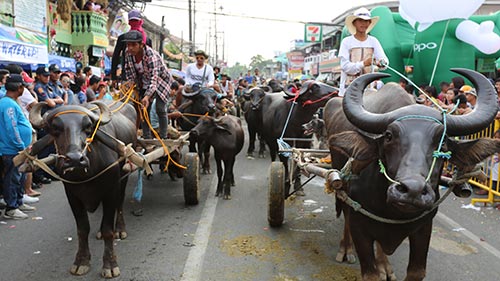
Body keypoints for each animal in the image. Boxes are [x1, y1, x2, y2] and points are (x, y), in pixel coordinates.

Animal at [29, 99, 137, 276]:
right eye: (55, 129)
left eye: (88, 127)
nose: (74, 159)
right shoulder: (72, 196)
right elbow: (82, 229)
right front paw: (81, 261)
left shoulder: (111, 190)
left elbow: (108, 230)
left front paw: (110, 264)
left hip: (124, 175)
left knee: (120, 203)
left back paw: (120, 229)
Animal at [324, 68, 500, 280]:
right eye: (388, 136)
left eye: (443, 143)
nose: (412, 191)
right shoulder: (360, 224)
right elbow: (370, 271)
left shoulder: (424, 227)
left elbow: (416, 271)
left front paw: (384, 267)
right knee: (345, 214)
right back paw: (347, 250)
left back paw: (385, 266)